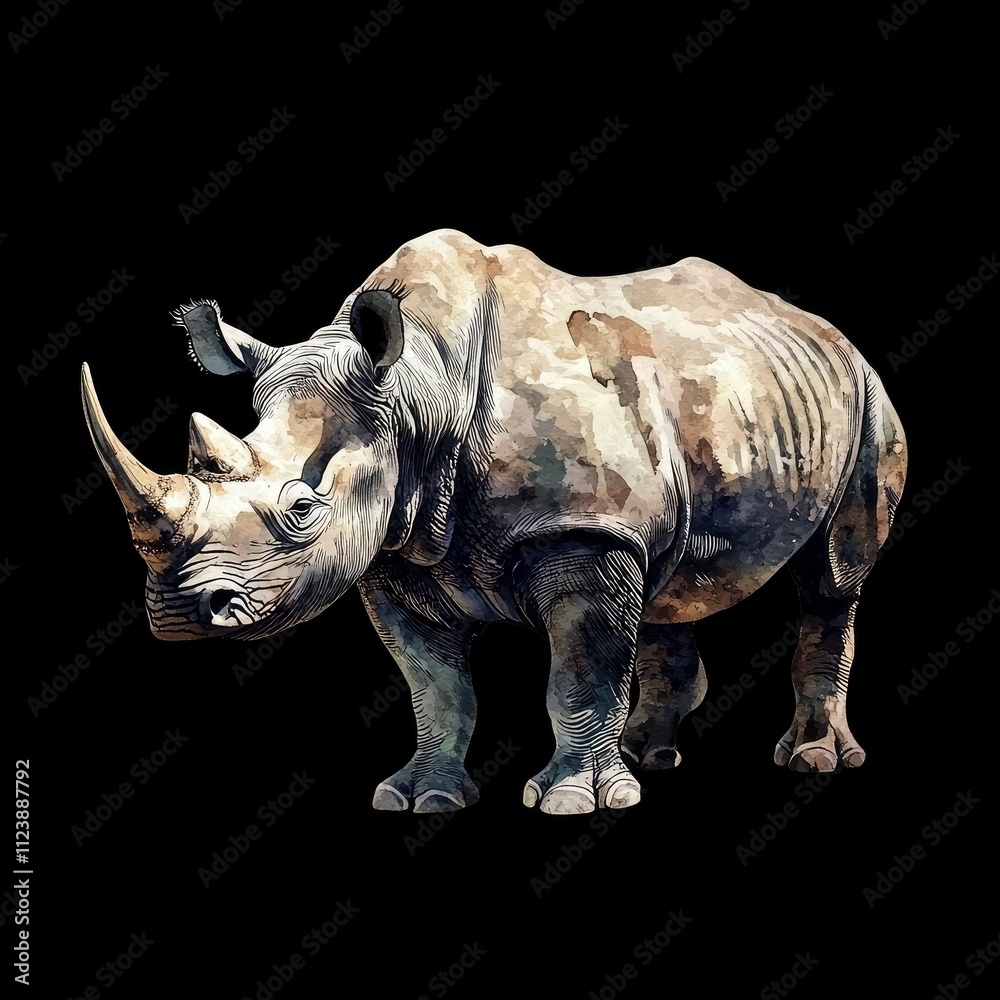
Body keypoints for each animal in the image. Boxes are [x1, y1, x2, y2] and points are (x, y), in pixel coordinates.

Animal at [81, 229, 907, 815]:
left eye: (302, 509)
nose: (179, 613)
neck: (418, 391)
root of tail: (824, 330)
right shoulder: (394, 550)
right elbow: (436, 685)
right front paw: (419, 797)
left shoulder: (580, 527)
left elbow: (579, 671)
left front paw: (574, 801)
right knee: (666, 576)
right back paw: (649, 757)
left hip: (867, 397)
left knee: (832, 580)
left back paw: (811, 759)